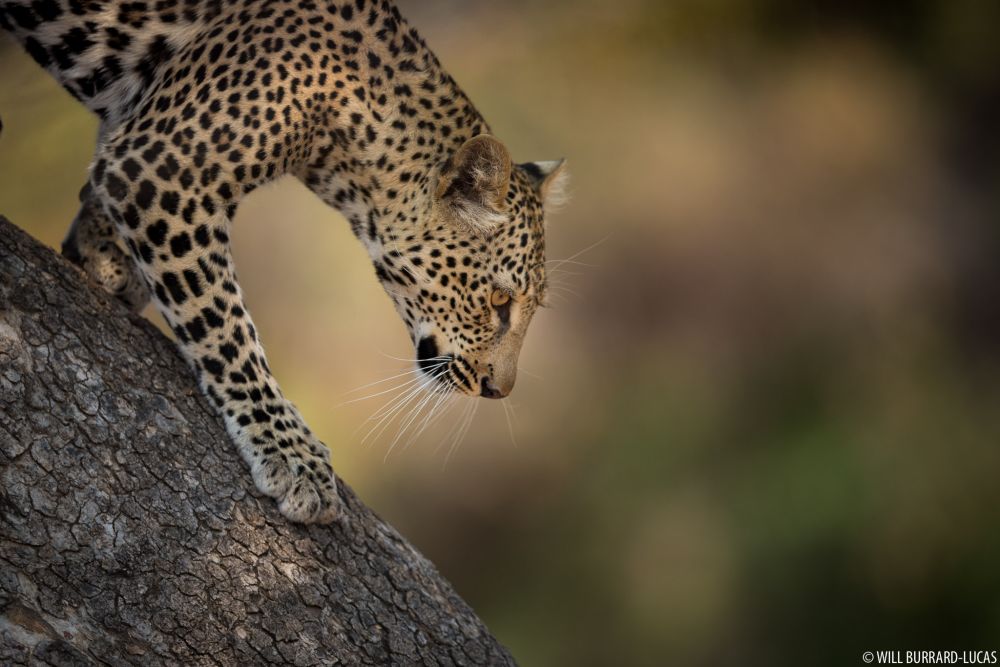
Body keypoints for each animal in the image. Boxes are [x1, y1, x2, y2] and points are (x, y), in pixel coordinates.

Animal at [0, 0, 572, 524]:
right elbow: (224, 325)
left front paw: (104, 252)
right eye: (498, 301)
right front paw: (291, 453)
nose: (498, 391)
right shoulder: (161, 169)